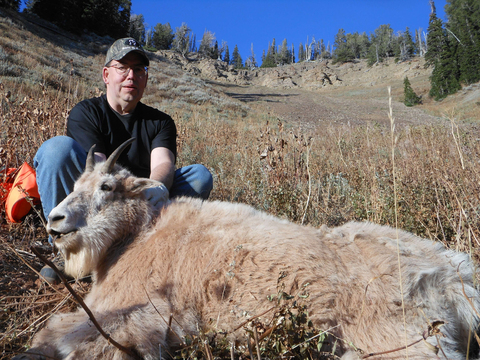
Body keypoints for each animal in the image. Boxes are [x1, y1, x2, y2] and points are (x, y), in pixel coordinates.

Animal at [15, 140, 480, 360]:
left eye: (107, 187)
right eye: (76, 184)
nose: (55, 221)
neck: (137, 236)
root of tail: (455, 279)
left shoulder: (134, 313)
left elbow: (61, 334)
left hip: (404, 342)